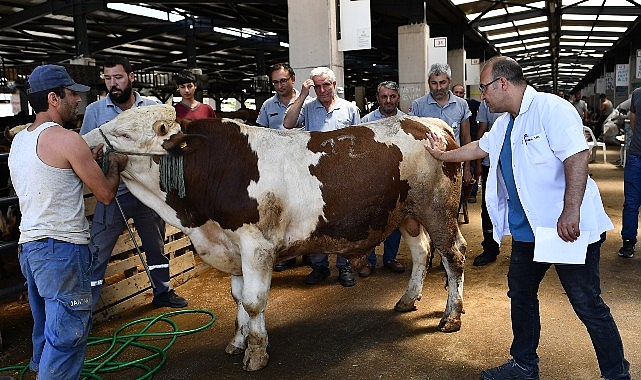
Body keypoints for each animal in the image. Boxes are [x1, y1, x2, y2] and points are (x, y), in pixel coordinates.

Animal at [82, 104, 468, 372]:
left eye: (125, 134)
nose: (82, 142)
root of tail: (430, 123)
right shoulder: (233, 247)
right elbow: (238, 298)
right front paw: (238, 341)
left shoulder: (257, 246)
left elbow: (254, 301)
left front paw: (256, 352)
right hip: (407, 215)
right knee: (421, 252)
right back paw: (408, 299)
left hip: (438, 211)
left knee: (454, 257)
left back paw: (451, 317)